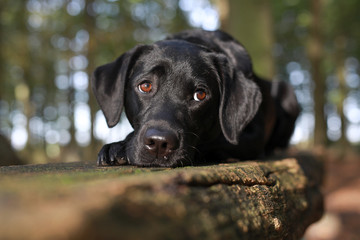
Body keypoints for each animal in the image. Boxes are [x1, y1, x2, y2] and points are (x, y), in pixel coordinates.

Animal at [91, 29, 300, 167]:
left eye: (200, 95)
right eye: (145, 86)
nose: (159, 143)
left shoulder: (254, 135)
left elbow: (216, 140)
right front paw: (118, 147)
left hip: (289, 95)